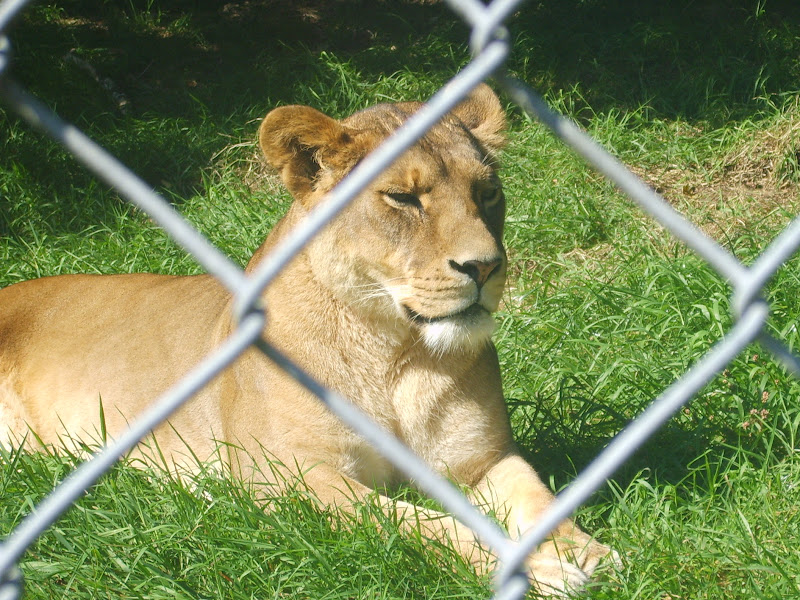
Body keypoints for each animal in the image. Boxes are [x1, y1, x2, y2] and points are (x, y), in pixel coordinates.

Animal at [0, 84, 615, 595]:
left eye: (486, 194)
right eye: (403, 198)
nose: (484, 267)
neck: (393, 349)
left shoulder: (483, 458)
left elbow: (539, 498)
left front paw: (586, 554)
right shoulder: (292, 477)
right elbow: (419, 524)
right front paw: (539, 569)